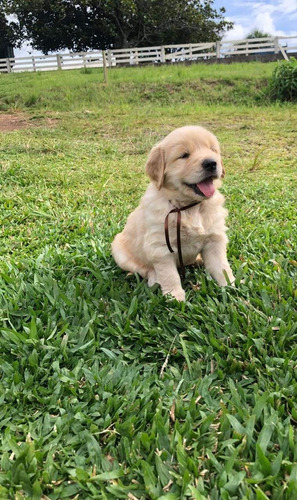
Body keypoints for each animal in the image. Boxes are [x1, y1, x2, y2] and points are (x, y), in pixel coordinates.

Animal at [111, 125, 234, 300]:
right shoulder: (160, 247)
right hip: (119, 251)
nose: (211, 163)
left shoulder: (214, 240)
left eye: (212, 150)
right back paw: (154, 278)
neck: (189, 207)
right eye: (184, 155)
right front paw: (175, 297)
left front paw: (232, 286)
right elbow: (170, 275)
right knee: (145, 270)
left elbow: (221, 266)